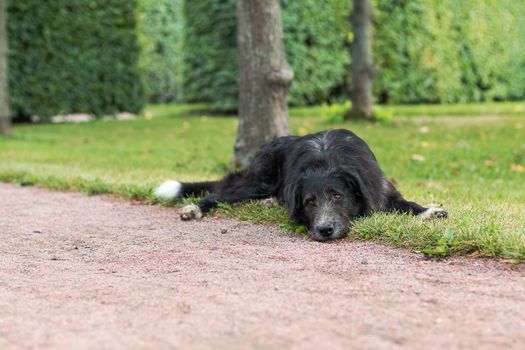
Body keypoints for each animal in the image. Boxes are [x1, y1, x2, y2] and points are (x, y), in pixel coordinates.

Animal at [154, 129, 444, 241]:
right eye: (309, 202)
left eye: (337, 195)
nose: (325, 230)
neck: (326, 161)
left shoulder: (380, 187)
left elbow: (406, 204)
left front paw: (429, 211)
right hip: (259, 182)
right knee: (219, 195)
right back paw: (194, 208)